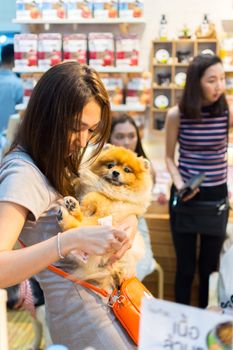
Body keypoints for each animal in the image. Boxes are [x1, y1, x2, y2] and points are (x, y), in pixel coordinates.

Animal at [57, 145, 153, 290]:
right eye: (110, 165)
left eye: (127, 170)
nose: (115, 173)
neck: (109, 190)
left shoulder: (108, 208)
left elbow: (93, 197)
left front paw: (81, 208)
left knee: (79, 228)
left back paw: (67, 213)